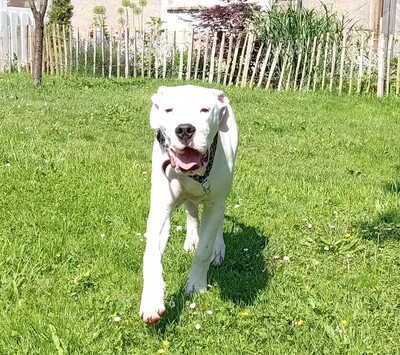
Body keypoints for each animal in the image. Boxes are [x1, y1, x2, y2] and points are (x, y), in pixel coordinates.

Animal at [140, 85, 238, 326]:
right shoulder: (160, 208)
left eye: (205, 109)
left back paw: (218, 248)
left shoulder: (214, 203)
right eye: (168, 110)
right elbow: (151, 255)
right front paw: (151, 301)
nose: (184, 129)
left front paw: (196, 285)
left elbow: (204, 250)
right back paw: (191, 239)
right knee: (191, 212)